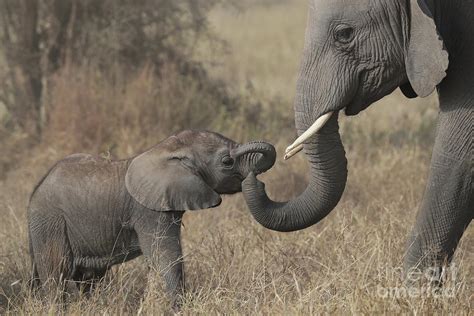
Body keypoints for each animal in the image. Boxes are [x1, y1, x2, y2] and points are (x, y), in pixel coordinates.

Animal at [28, 130, 274, 304]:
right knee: (56, 274)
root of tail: (35, 191)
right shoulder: (148, 211)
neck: (168, 148)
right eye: (227, 162)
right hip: (51, 223)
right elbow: (165, 257)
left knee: (88, 277)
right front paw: (179, 307)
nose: (255, 180)